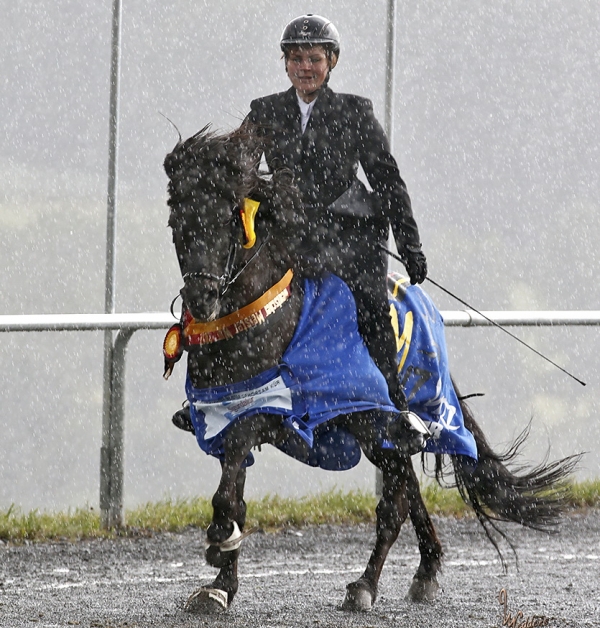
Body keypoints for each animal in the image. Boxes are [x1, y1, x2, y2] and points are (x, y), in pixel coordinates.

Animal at [162, 125, 580, 612]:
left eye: (231, 217)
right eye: (176, 222)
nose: (202, 300)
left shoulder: (269, 411)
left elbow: (229, 490)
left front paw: (218, 542)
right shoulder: (223, 414)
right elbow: (235, 493)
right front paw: (220, 585)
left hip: (382, 420)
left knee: (394, 504)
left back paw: (365, 585)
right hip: (378, 433)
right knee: (409, 492)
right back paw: (426, 570)